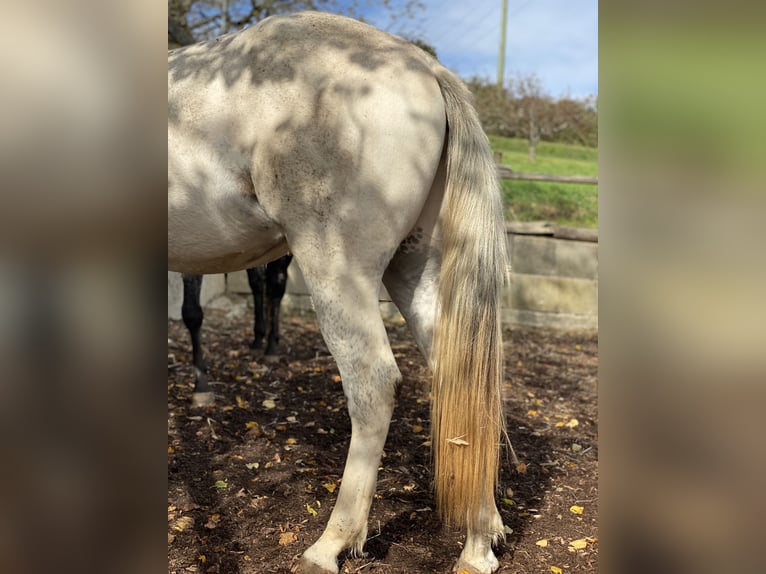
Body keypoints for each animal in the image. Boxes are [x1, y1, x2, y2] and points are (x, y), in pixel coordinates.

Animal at [180, 254, 294, 408]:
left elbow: (192, 313)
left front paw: (201, 387)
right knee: (257, 281)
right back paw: (258, 341)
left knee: (277, 282)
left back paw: (272, 348)